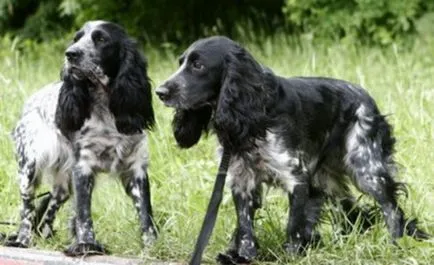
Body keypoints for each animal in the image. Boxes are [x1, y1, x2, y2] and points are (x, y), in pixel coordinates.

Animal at [4, 19, 157, 255]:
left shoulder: (136, 169)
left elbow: (145, 214)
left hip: (64, 182)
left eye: (101, 39)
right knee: (27, 209)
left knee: (51, 207)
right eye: (76, 39)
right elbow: (84, 214)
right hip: (29, 166)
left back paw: (48, 237)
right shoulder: (83, 167)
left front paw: (151, 247)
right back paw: (23, 240)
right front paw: (86, 245)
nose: (70, 54)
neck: (106, 108)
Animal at [157, 36, 430, 262]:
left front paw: (291, 255)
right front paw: (243, 256)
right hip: (325, 179)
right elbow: (245, 226)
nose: (160, 91)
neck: (256, 110)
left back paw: (396, 243)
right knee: (352, 209)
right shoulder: (242, 180)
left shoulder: (295, 179)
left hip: (366, 168)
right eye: (181, 63)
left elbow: (294, 227)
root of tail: (366, 96)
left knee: (390, 208)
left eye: (198, 65)